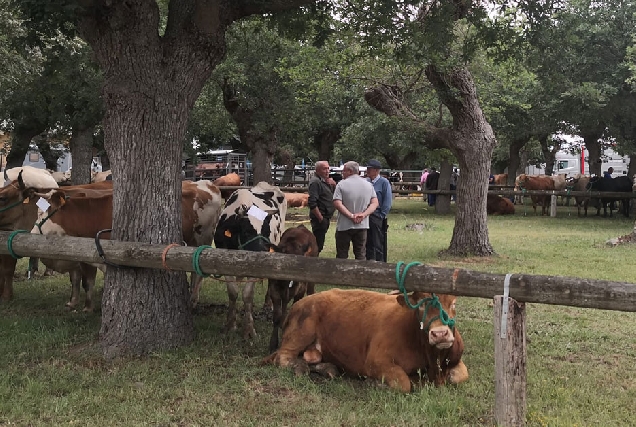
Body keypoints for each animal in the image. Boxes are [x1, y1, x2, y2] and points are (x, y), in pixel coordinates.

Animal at [215, 181, 286, 342]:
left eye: (266, 231)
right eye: (247, 232)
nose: (263, 252)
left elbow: (247, 294)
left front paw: (248, 330)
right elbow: (233, 292)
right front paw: (230, 325)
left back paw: (268, 303)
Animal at [264, 290, 468, 392]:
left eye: (454, 304)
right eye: (421, 305)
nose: (440, 334)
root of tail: (299, 304)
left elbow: (460, 376)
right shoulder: (375, 361)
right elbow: (404, 383)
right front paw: (373, 383)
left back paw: (328, 368)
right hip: (301, 331)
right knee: (283, 357)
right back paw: (300, 367)